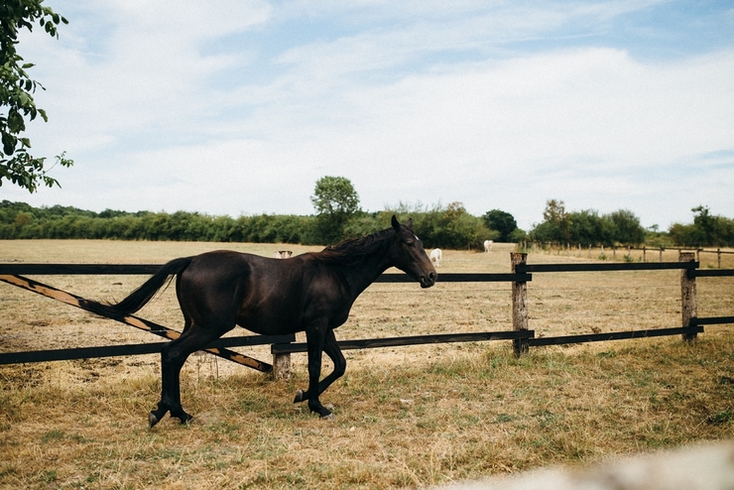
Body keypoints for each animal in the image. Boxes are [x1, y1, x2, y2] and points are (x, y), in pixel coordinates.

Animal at [90, 216, 440, 426]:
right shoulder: (316, 326)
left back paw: (164, 411)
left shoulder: (325, 328)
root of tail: (189, 261)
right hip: (209, 328)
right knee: (173, 354)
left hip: (194, 325)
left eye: (423, 243)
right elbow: (316, 365)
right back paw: (178, 413)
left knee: (171, 356)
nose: (431, 277)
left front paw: (302, 396)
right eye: (409, 243)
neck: (337, 272)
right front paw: (317, 406)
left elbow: (340, 365)